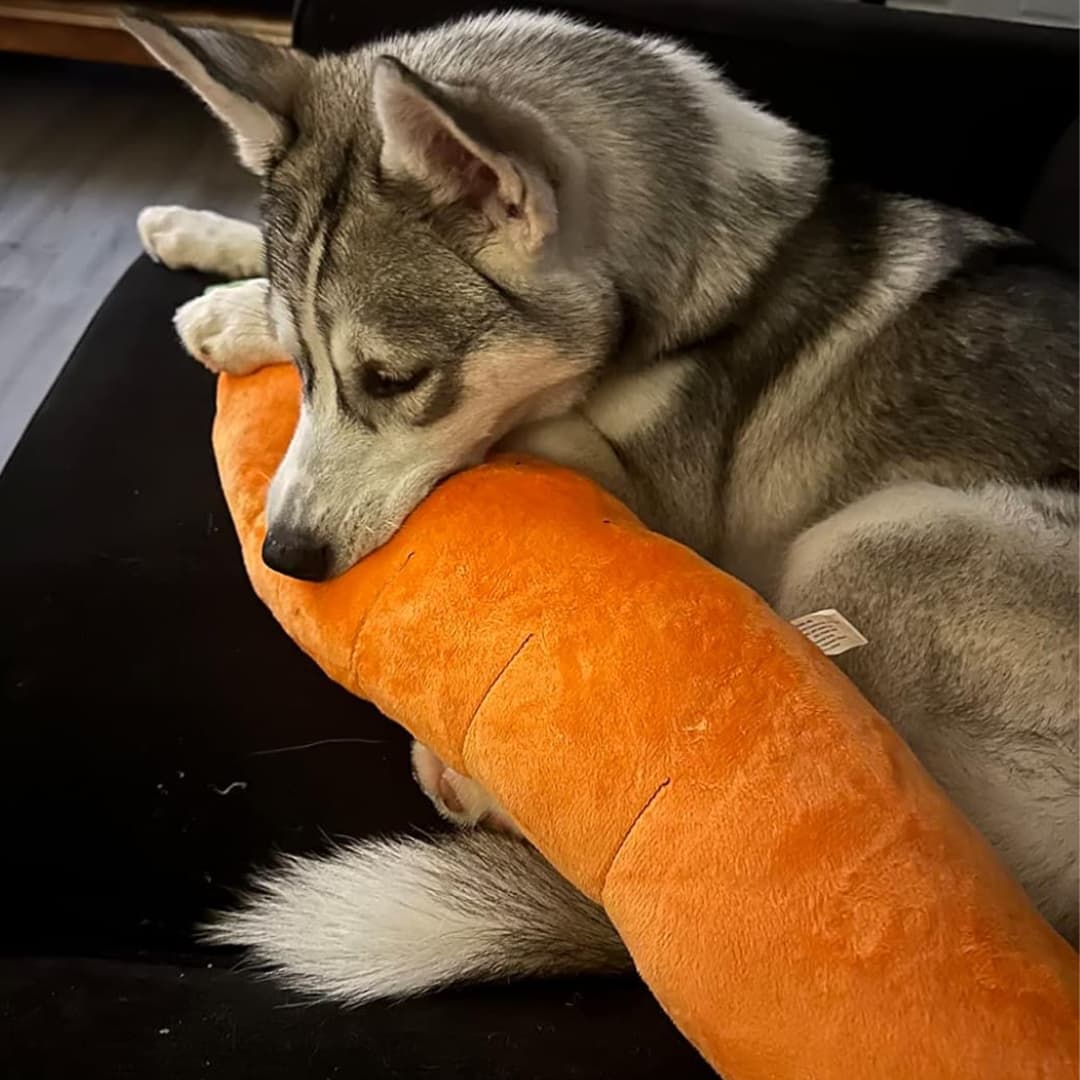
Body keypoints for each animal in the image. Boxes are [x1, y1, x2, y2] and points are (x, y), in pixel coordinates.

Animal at [122, 10, 1075, 1002]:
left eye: (395, 379)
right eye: (309, 372)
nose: (288, 555)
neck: (710, 267)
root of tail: (1041, 910)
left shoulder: (657, 496)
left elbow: (530, 419)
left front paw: (229, 316)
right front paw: (207, 242)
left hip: (873, 535)